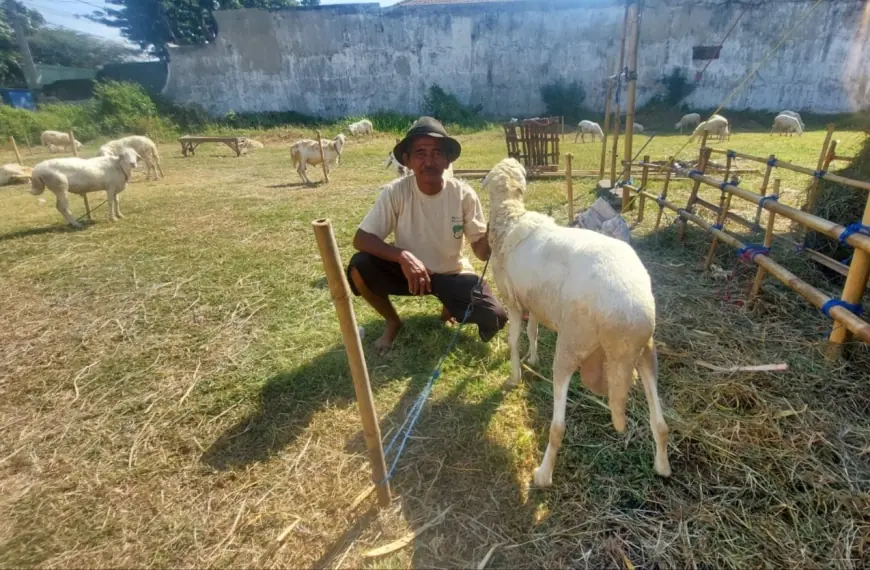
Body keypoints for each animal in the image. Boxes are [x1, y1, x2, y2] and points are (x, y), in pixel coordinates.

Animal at [484, 158, 676, 486]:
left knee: (558, 427)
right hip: (647, 353)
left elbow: (513, 339)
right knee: (660, 423)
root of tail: (632, 315)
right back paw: (662, 466)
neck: (510, 216)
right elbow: (533, 331)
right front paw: (532, 359)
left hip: (571, 346)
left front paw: (514, 376)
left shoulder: (513, 302)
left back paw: (543, 475)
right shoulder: (536, 302)